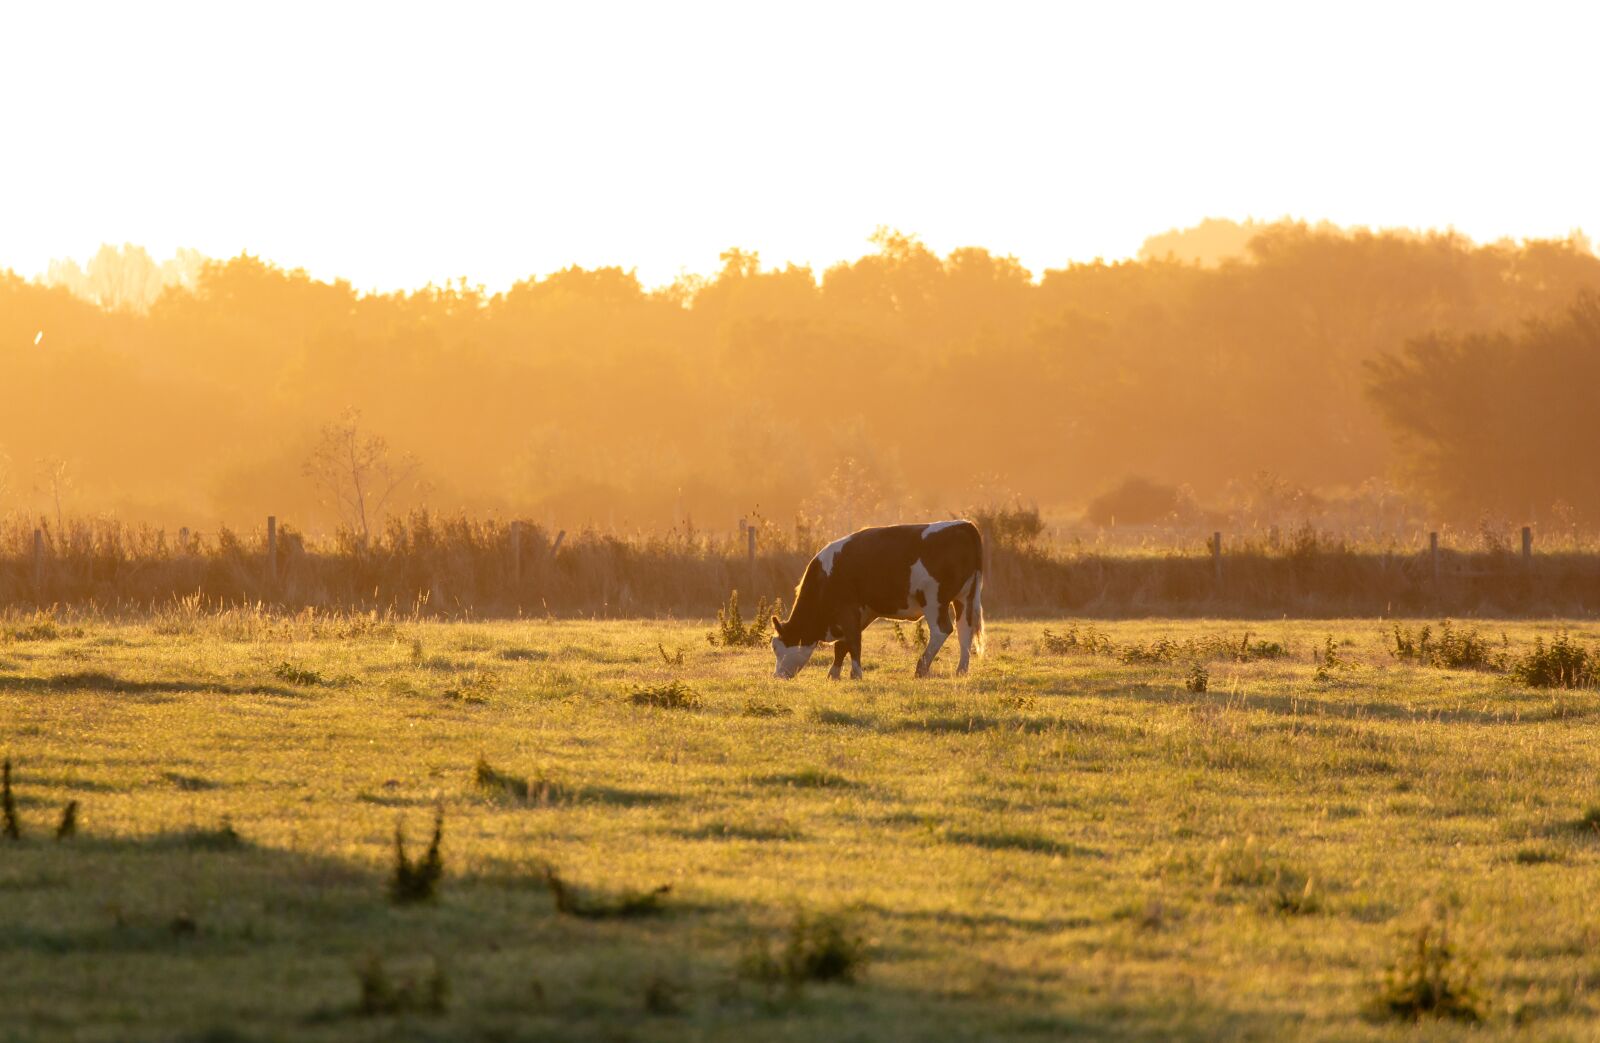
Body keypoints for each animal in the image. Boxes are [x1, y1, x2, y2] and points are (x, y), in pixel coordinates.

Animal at [768, 518, 979, 675]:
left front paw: (856, 674)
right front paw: (834, 675)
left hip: (934, 600)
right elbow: (843, 644)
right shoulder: (864, 612)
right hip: (964, 598)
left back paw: (921, 668)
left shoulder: (848, 609)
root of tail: (964, 525)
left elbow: (853, 642)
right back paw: (961, 670)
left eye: (776, 647)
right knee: (965, 630)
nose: (777, 676)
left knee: (941, 630)